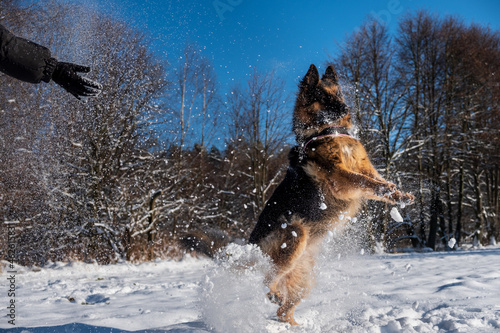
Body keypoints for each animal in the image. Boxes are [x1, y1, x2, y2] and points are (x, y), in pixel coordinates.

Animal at [247, 63, 414, 322]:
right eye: (324, 97)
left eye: (339, 94)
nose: (346, 108)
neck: (329, 131)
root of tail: (251, 245)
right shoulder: (340, 177)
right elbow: (365, 181)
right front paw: (388, 189)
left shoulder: (365, 169)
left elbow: (375, 183)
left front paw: (401, 195)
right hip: (295, 235)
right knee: (267, 278)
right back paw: (273, 292)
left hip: (304, 281)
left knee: (283, 310)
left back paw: (291, 319)